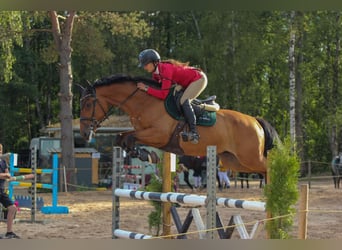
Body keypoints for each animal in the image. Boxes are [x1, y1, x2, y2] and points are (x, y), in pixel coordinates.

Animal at [79, 74, 280, 176]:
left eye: (88, 104)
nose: (84, 133)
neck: (146, 102)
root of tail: (255, 121)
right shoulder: (142, 131)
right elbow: (122, 138)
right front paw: (145, 155)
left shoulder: (159, 135)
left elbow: (129, 138)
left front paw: (147, 155)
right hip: (235, 161)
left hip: (251, 158)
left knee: (270, 167)